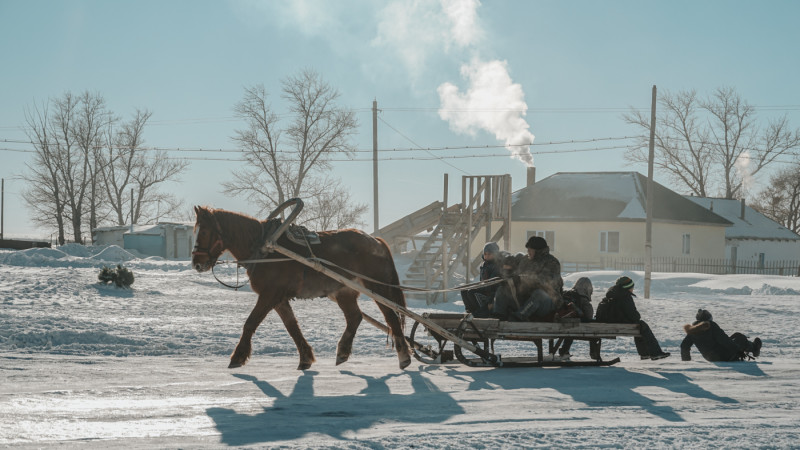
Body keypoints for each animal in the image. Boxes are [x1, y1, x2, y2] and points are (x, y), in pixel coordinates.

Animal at [190, 206, 410, 370]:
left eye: (204, 231)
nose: (197, 264)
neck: (265, 248)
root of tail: (377, 242)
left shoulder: (269, 295)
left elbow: (250, 323)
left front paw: (238, 356)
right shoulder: (278, 298)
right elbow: (292, 327)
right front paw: (305, 358)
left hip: (377, 287)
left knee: (391, 317)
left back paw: (404, 356)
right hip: (344, 291)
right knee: (354, 317)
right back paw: (342, 351)